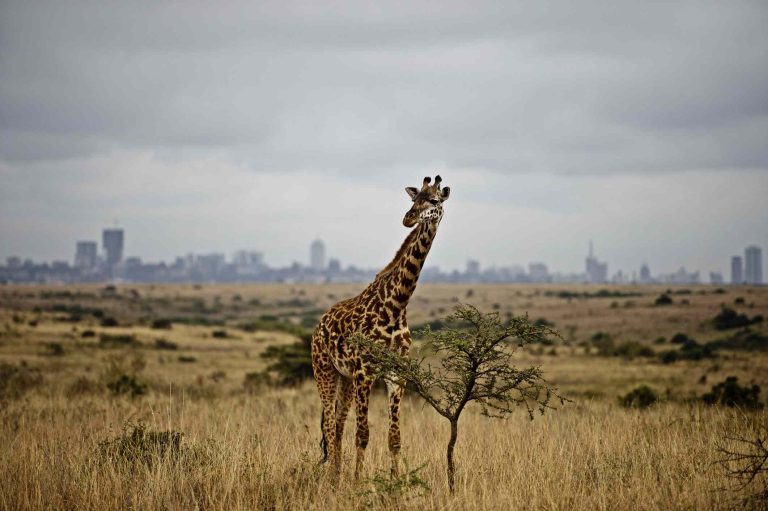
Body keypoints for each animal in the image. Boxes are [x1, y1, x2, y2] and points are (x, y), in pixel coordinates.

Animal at [311, 175, 450, 481]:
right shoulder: (365, 373)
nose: (408, 218)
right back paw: (333, 478)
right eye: (414, 199)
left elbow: (394, 437)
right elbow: (363, 434)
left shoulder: (395, 374)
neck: (396, 305)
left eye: (434, 200)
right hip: (324, 370)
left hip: (345, 377)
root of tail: (319, 324)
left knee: (338, 422)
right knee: (328, 423)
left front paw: (397, 481)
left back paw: (336, 473)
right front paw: (358, 481)